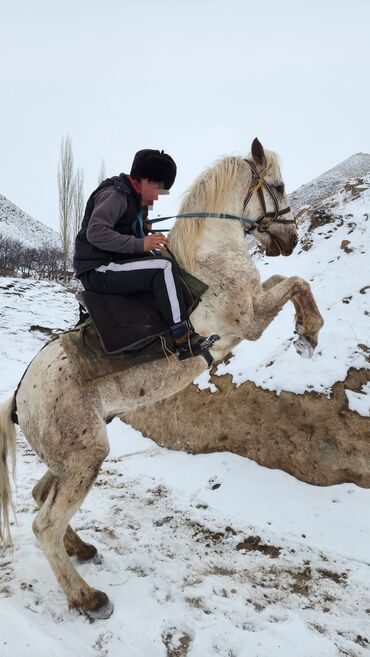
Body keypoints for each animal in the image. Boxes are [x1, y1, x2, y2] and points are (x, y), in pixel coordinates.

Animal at [0, 136, 324, 616]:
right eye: (279, 186)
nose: (290, 238)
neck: (212, 257)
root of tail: (22, 395)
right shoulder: (250, 320)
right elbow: (297, 281)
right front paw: (310, 332)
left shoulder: (256, 304)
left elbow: (288, 277)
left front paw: (305, 330)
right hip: (84, 459)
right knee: (45, 524)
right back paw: (86, 596)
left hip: (69, 459)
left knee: (44, 499)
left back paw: (81, 550)